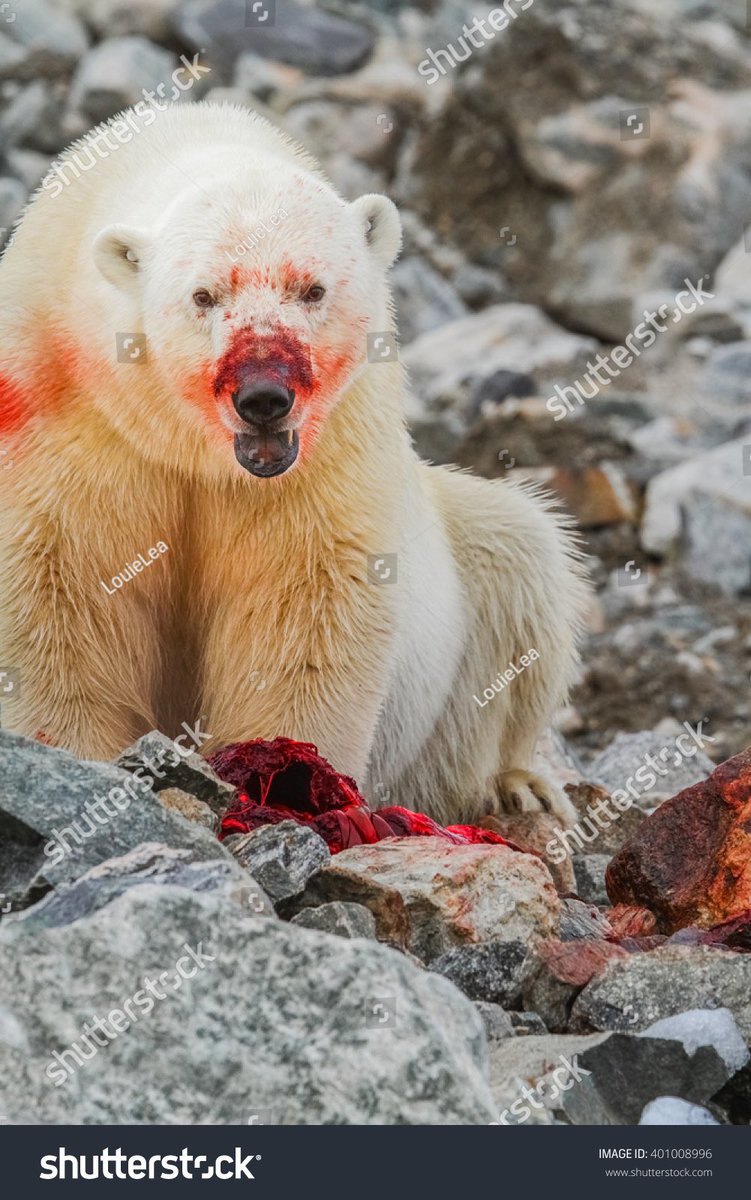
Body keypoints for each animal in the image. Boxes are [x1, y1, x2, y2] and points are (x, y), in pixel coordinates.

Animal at [0, 100, 585, 825]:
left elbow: (305, 603)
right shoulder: (61, 408)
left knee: (523, 562)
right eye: (203, 296)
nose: (263, 398)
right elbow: (61, 591)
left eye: (312, 289)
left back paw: (518, 788)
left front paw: (283, 782)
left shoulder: (331, 445)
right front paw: (82, 767)